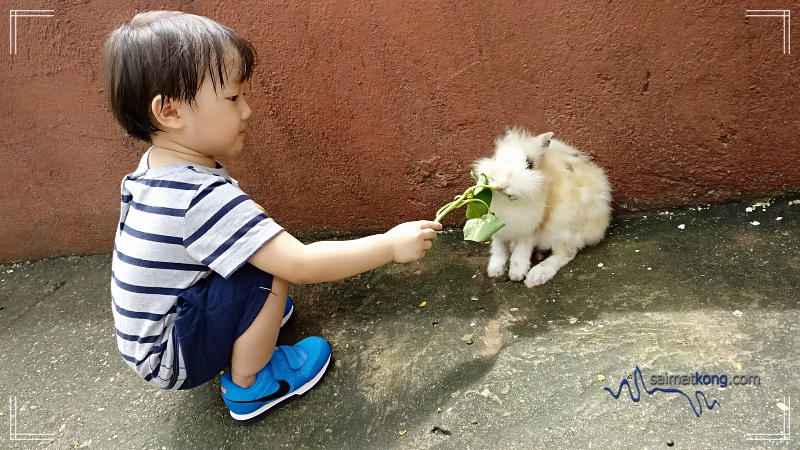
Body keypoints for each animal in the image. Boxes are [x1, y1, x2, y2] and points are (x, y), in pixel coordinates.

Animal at [476, 126, 612, 288]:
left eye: (529, 165)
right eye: (496, 157)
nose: (502, 184)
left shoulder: (529, 230)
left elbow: (520, 254)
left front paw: (517, 274)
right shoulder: (498, 232)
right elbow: (498, 251)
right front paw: (495, 271)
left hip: (562, 230)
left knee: (566, 254)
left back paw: (536, 275)